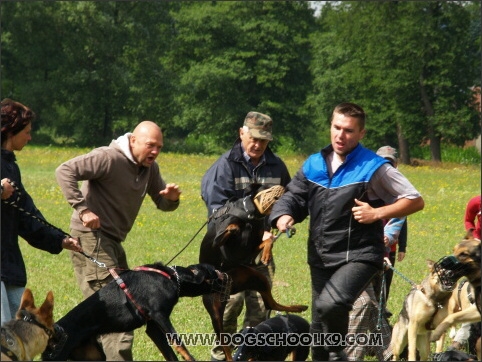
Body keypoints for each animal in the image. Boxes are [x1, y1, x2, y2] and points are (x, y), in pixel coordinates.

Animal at [42, 262, 230, 360]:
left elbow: (169, 353)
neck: (172, 277)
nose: (227, 275)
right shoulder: (159, 315)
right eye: (216, 271)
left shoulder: (153, 328)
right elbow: (179, 344)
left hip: (91, 355)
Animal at [200, 185, 308, 360]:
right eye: (267, 187)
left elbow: (267, 240)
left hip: (257, 278)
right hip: (215, 313)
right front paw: (234, 227)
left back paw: (299, 308)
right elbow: (229, 229)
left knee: (270, 303)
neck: (251, 215)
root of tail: (229, 289)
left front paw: (266, 253)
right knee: (225, 346)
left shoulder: (251, 248)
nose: (283, 186)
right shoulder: (220, 240)